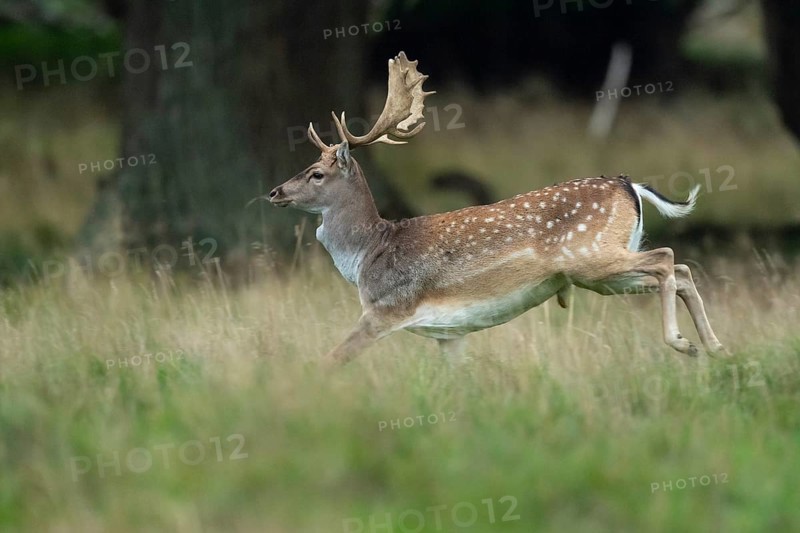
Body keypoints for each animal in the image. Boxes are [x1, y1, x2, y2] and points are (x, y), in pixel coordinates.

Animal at [269, 52, 726, 365]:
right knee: (680, 271)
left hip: (591, 255)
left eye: (316, 173)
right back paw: (716, 347)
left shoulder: (386, 308)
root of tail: (628, 184)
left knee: (667, 257)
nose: (275, 192)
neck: (367, 256)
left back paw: (683, 343)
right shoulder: (448, 333)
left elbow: (331, 360)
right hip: (602, 274)